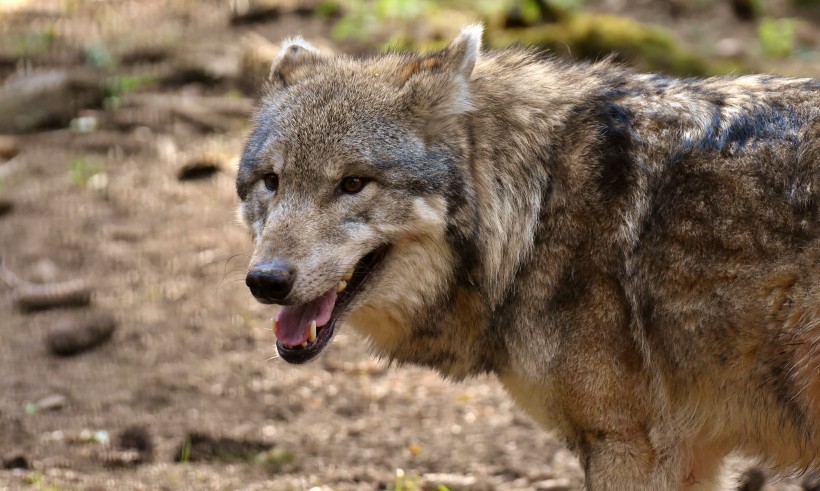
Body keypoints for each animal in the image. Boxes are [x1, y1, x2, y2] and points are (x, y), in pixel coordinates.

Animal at [237, 24, 820, 491]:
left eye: (354, 183)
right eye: (271, 181)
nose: (265, 281)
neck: (537, 208)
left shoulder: (631, 446)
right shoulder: (689, 453)